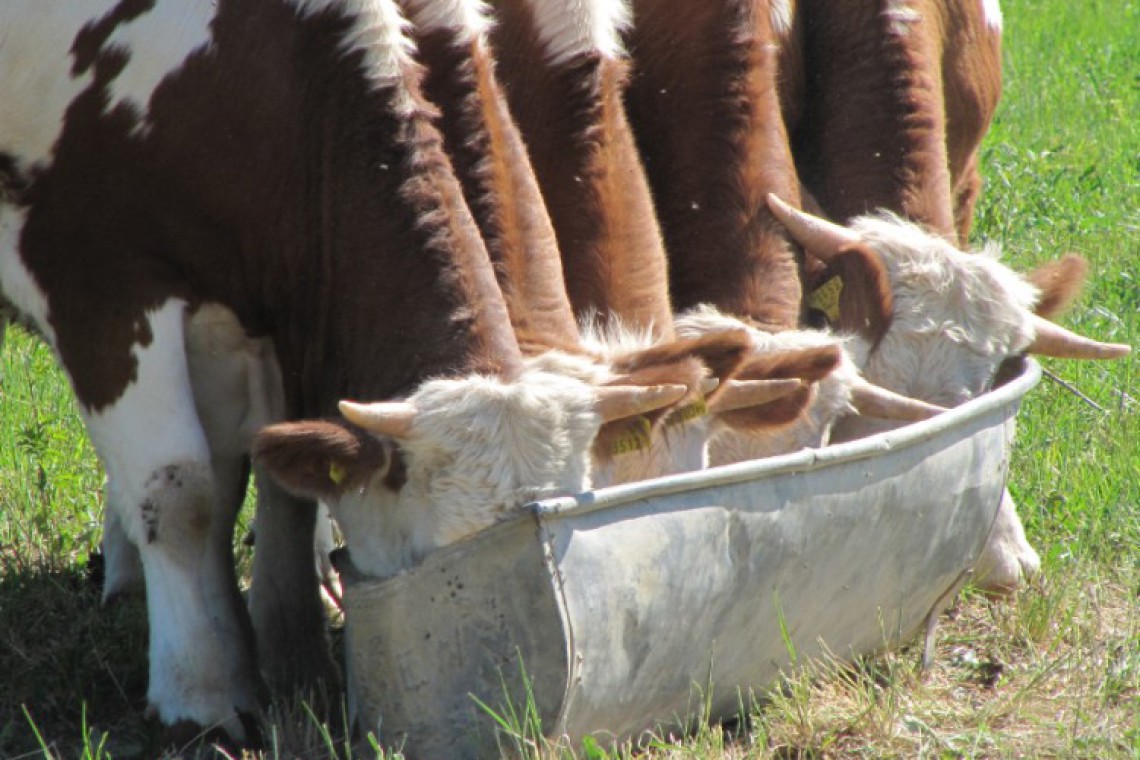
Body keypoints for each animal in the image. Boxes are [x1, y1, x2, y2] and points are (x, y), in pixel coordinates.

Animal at [0, 0, 711, 747]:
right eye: (440, 567)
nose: (518, 712)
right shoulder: (98, 276)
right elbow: (182, 494)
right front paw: (203, 695)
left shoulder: (282, 299)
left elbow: (278, 481)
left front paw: (291, 662)